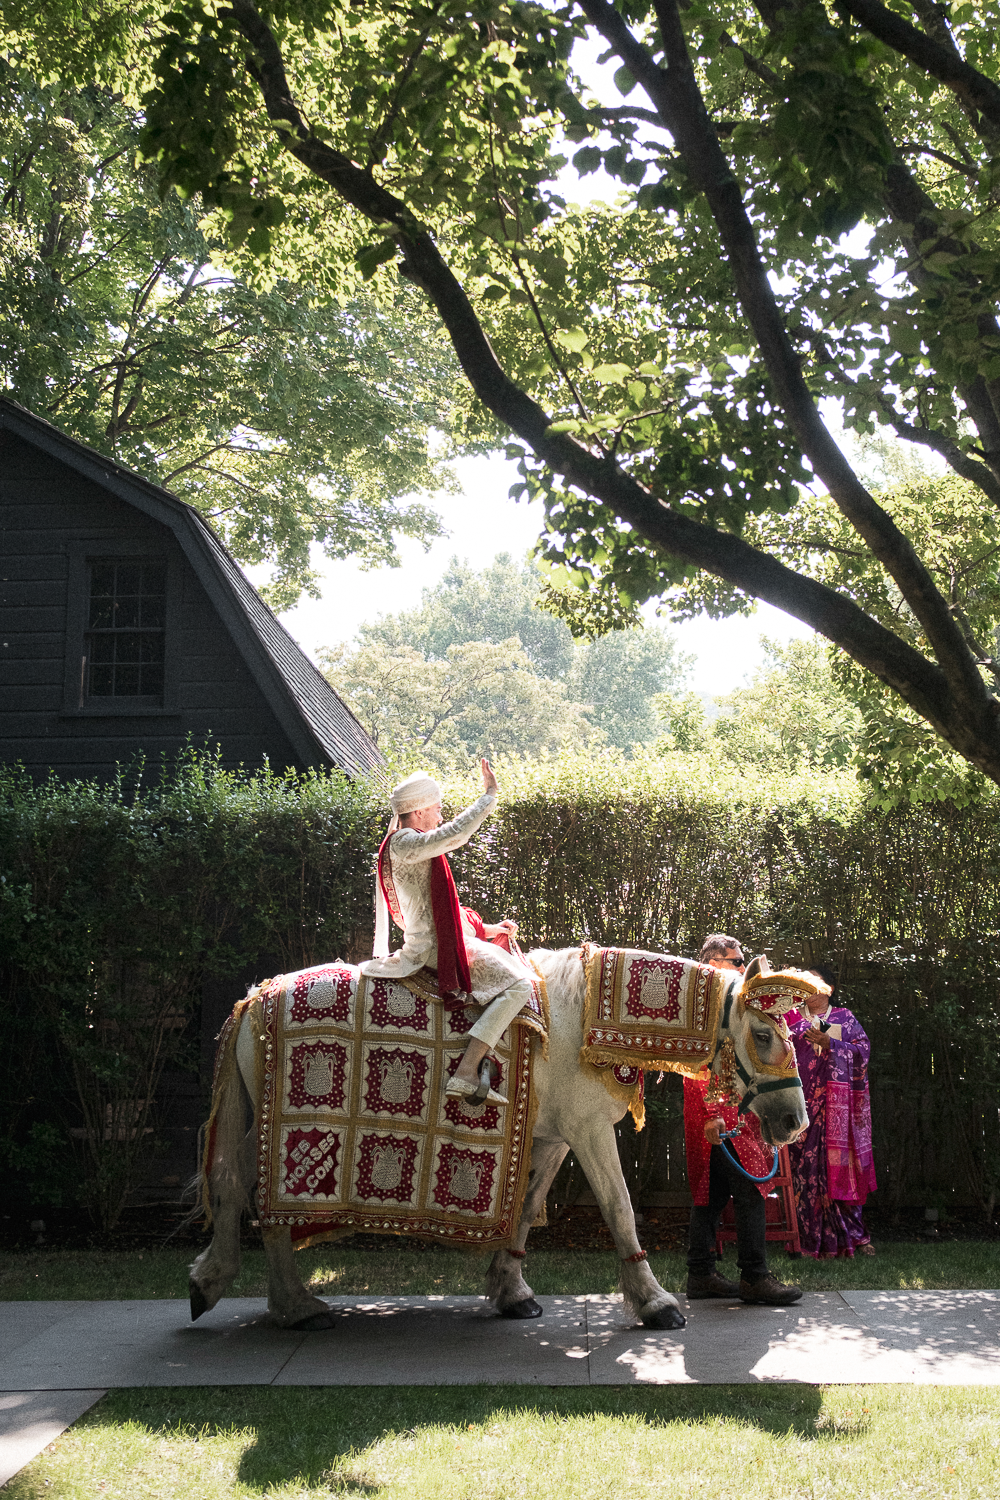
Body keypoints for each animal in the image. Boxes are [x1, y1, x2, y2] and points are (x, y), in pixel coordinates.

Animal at [189, 946, 808, 1334]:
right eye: (762, 1034)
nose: (795, 1122)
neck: (581, 1019)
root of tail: (256, 998)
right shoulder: (589, 1132)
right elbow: (620, 1209)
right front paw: (655, 1303)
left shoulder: (556, 1138)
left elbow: (527, 1208)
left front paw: (511, 1291)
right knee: (253, 1190)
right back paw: (285, 1303)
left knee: (237, 1182)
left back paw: (235, 1287)